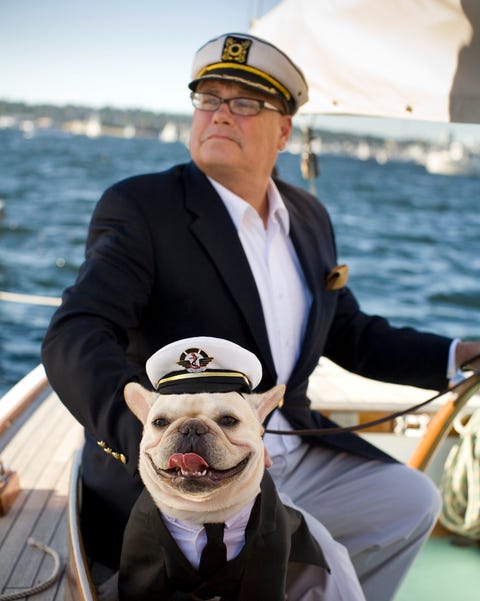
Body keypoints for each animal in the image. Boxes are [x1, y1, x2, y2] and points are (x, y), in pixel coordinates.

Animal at [101, 338, 328, 600]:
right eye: (159, 422)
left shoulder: (265, 564)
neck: (205, 515)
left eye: (229, 421)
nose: (191, 427)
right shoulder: (144, 566)